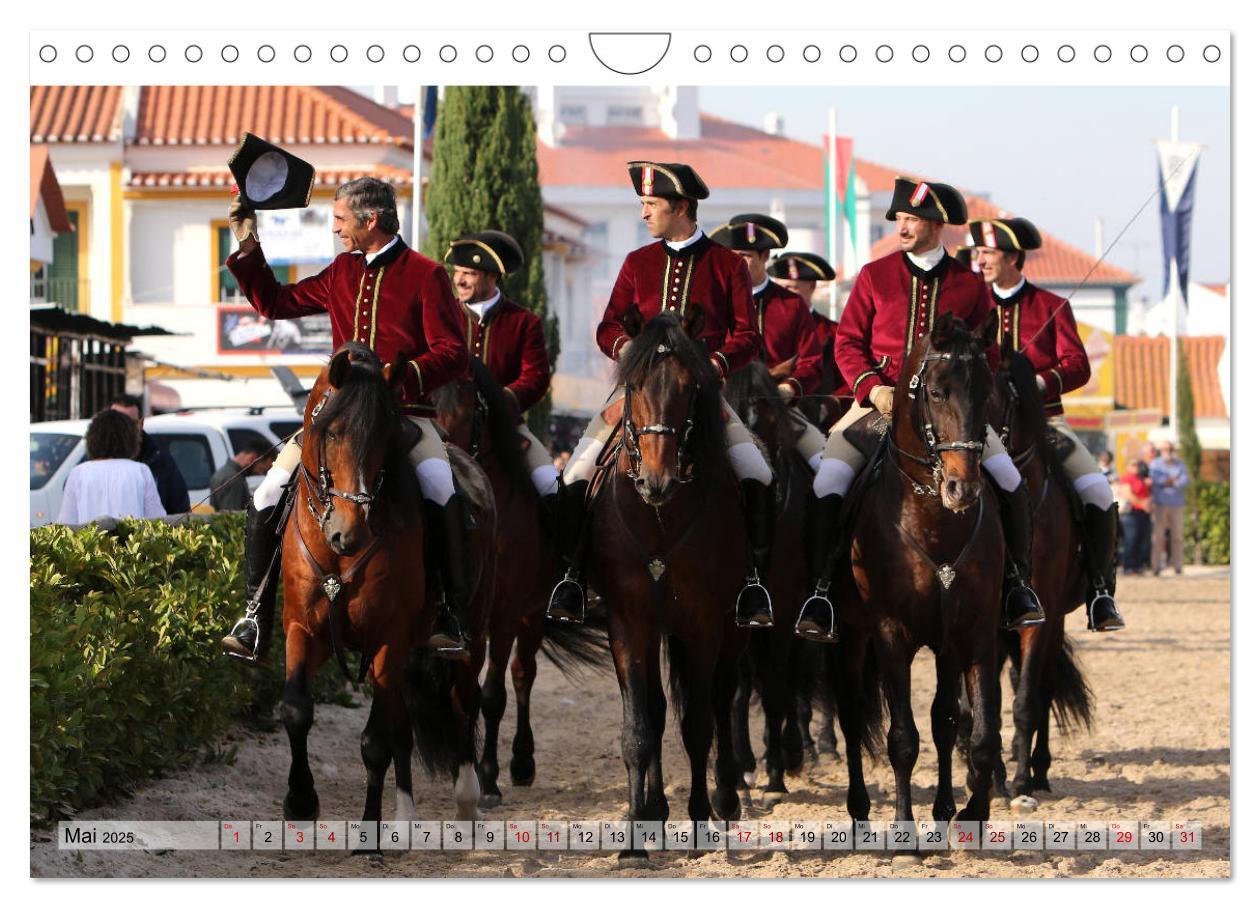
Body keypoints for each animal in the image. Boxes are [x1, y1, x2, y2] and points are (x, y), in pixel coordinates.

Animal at [278, 342, 493, 841]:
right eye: (332, 432)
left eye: (384, 438)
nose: (349, 534)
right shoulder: (304, 629)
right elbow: (296, 710)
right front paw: (300, 801)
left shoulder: (387, 640)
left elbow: (374, 742)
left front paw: (368, 835)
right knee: (404, 721)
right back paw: (405, 815)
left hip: (471, 632)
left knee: (464, 701)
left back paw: (467, 801)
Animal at [430, 360, 607, 805]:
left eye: (469, 413)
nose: (449, 463)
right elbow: (466, 691)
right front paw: (465, 766)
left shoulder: (506, 613)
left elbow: (493, 694)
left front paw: (489, 776)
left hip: (531, 614)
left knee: (523, 673)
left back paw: (522, 762)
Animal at [589, 308, 745, 861]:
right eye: (633, 386)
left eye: (689, 387)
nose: (656, 480)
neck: (659, 516)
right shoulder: (628, 622)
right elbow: (639, 727)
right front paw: (636, 834)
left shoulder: (704, 625)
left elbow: (697, 725)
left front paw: (699, 821)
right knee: (656, 710)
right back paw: (654, 811)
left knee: (721, 702)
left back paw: (724, 800)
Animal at [831, 312, 1008, 831]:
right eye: (935, 392)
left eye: (987, 389)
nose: (962, 487)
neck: (933, 521)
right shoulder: (891, 634)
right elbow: (903, 738)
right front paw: (904, 829)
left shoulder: (976, 631)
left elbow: (981, 734)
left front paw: (973, 813)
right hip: (852, 636)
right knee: (852, 714)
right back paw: (859, 809)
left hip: (946, 644)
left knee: (945, 718)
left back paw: (946, 805)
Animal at [962, 340, 1093, 800]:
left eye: (990, 397)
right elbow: (984, 701)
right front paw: (988, 777)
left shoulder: (1041, 617)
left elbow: (1026, 701)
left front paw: (1018, 780)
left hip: (1051, 622)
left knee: (1042, 687)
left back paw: (1037, 770)